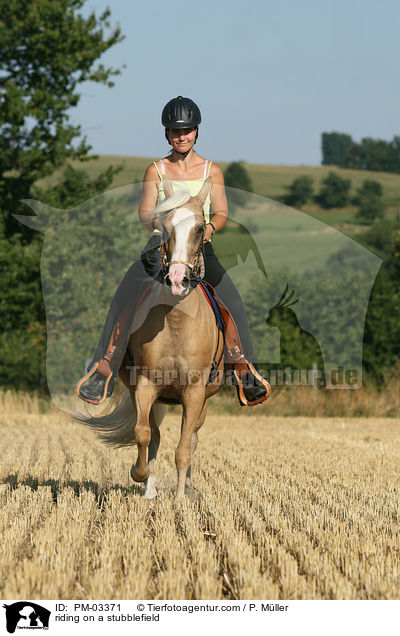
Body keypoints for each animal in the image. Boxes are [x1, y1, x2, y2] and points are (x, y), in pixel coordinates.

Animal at [80, 176, 225, 500]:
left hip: (202, 401)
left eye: (200, 228)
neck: (176, 323)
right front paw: (140, 475)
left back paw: (187, 488)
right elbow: (143, 434)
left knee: (192, 438)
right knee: (154, 434)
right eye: (165, 226)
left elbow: (183, 448)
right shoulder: (146, 384)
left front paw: (181, 499)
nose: (177, 280)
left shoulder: (195, 392)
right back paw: (150, 490)